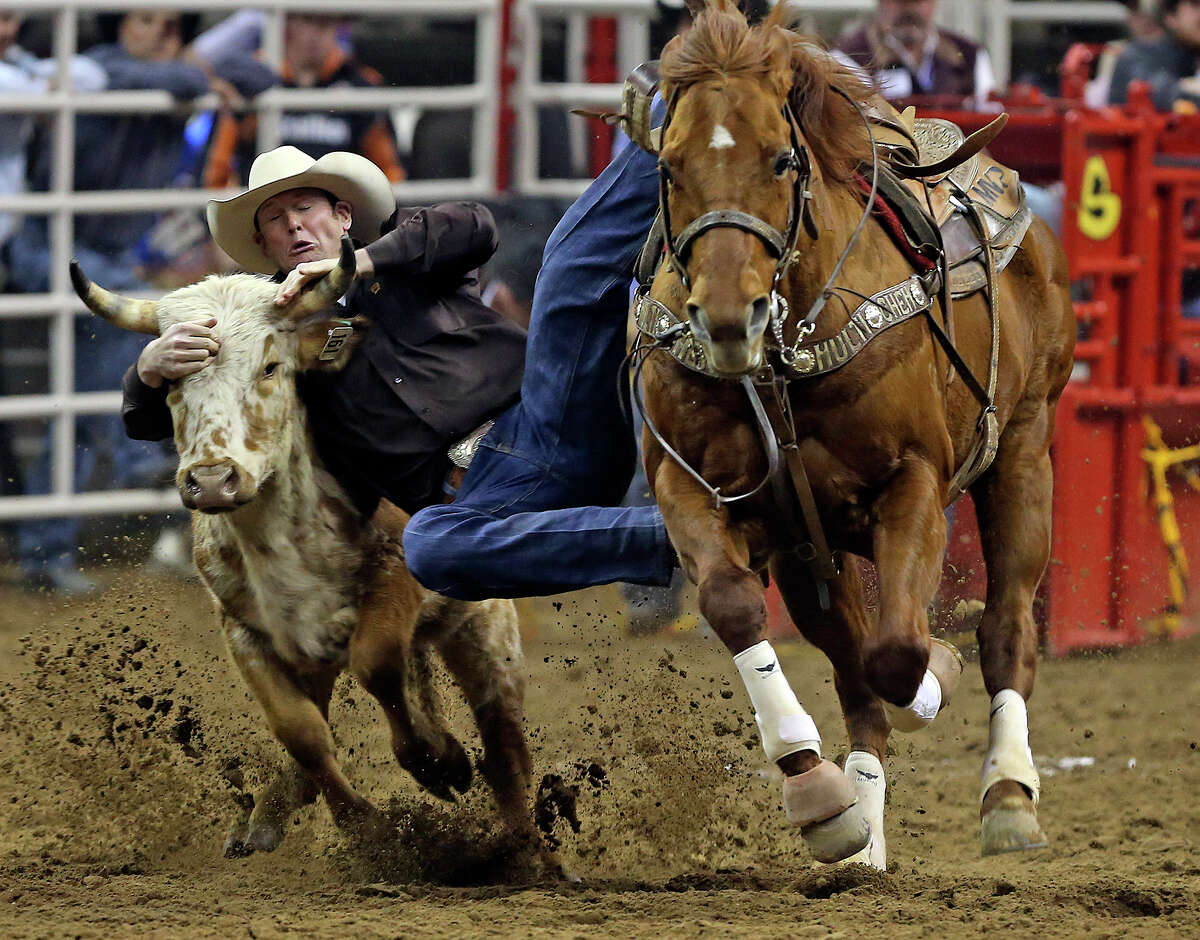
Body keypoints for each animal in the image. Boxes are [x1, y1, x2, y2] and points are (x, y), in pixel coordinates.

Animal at [643, 1, 1075, 869]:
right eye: (669, 167)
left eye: (782, 160)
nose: (727, 317)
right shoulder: (693, 487)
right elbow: (736, 606)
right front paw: (818, 795)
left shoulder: (911, 483)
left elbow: (900, 652)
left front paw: (935, 672)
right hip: (813, 545)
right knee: (850, 671)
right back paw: (863, 832)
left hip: (1022, 450)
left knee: (1006, 627)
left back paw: (1009, 796)